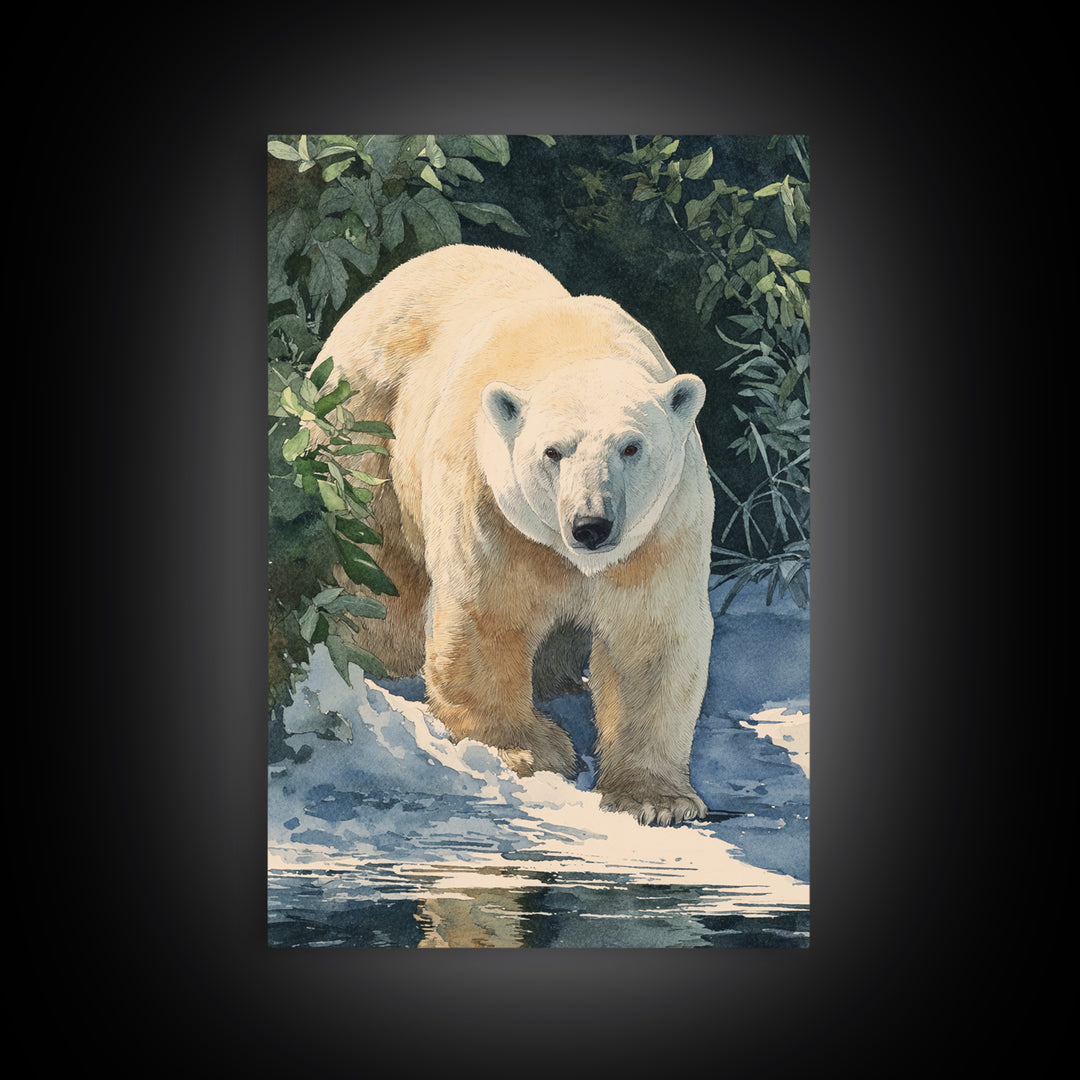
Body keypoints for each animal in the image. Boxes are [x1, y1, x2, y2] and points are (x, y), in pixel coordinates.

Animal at [310, 244, 714, 826]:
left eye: (632, 447)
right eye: (553, 451)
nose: (590, 526)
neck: (573, 345)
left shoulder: (660, 531)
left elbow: (650, 640)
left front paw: (655, 800)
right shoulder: (492, 509)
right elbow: (486, 620)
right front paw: (530, 750)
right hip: (364, 432)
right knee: (381, 575)